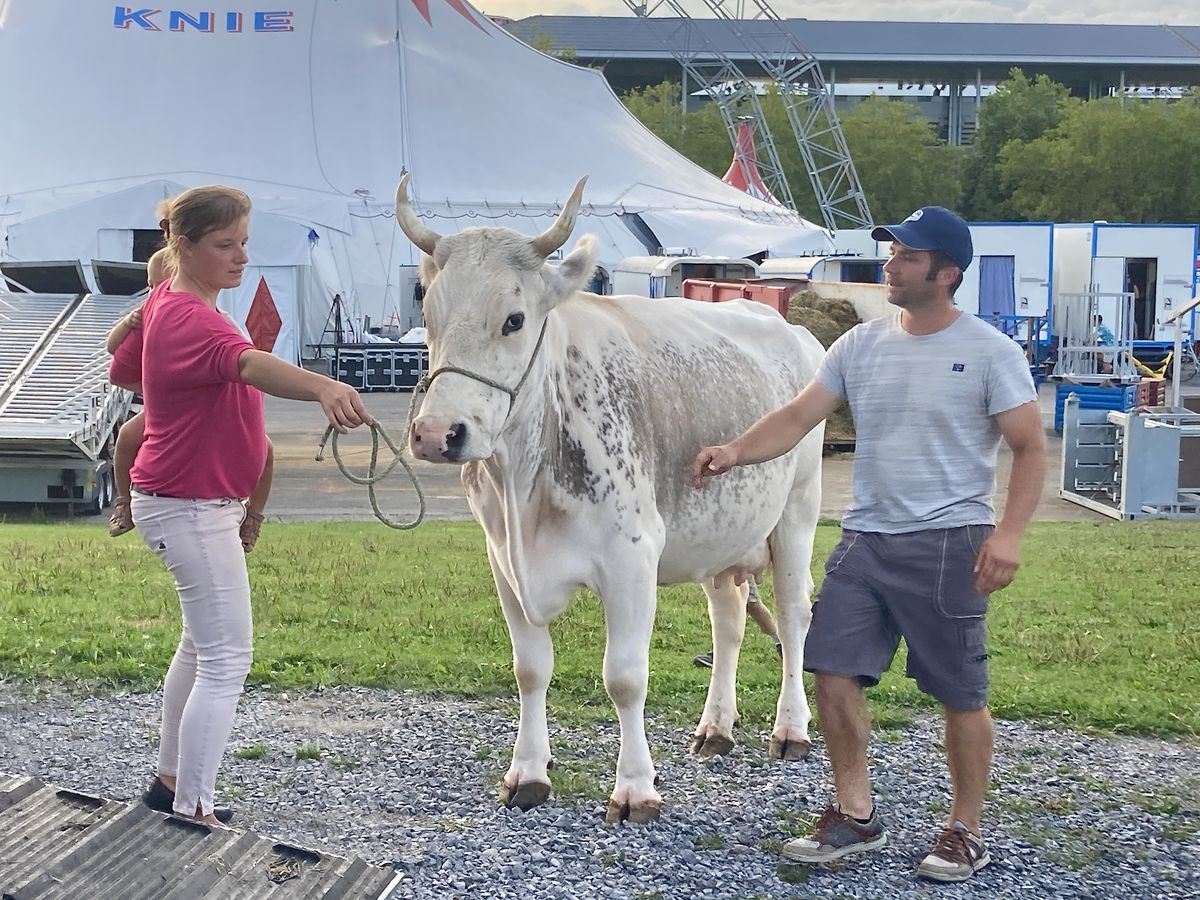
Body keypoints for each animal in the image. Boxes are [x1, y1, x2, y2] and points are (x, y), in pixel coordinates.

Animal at [398, 176, 830, 825]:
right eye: (428, 314)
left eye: (514, 319)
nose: (435, 433)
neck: (525, 484)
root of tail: (783, 321)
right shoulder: (503, 562)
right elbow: (530, 669)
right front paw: (527, 774)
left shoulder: (631, 557)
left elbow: (624, 678)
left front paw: (635, 789)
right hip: (721, 535)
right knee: (728, 621)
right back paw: (716, 727)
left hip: (797, 513)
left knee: (795, 616)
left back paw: (792, 729)